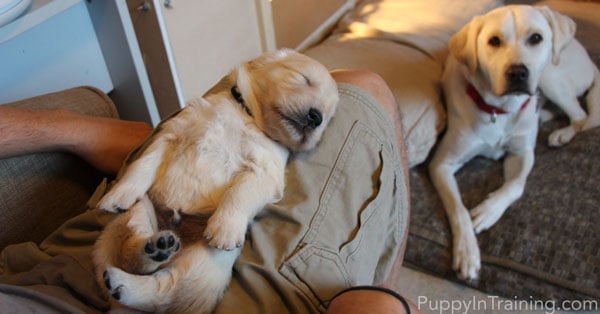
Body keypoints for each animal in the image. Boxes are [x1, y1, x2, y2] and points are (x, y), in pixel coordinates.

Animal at [92, 47, 338, 312]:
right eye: (304, 78)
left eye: (327, 117)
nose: (316, 118)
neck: (248, 116)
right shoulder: (171, 132)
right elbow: (143, 163)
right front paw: (118, 194)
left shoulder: (264, 170)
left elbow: (239, 193)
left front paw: (225, 229)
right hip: (137, 212)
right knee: (131, 251)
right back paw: (151, 249)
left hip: (206, 264)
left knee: (165, 291)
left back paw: (135, 273)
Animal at [428, 4, 596, 280]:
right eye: (494, 41)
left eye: (536, 38)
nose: (518, 72)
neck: (500, 110)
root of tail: (590, 60)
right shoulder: (442, 164)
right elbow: (458, 208)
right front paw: (467, 252)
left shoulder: (522, 153)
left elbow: (517, 185)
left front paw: (488, 211)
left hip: (550, 76)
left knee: (582, 116)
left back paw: (561, 134)